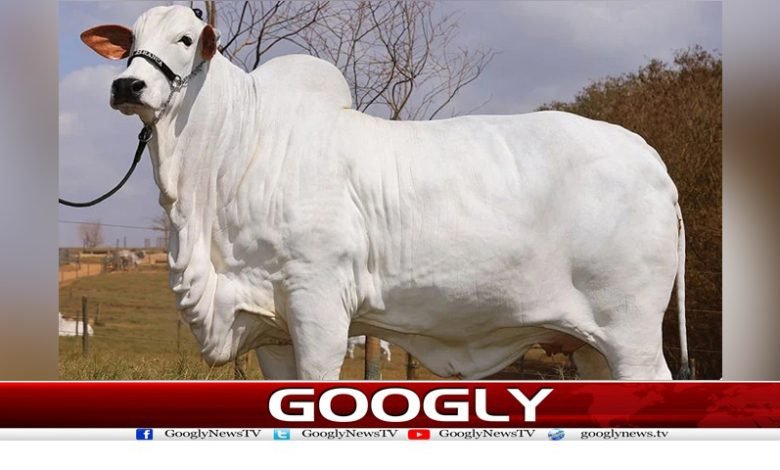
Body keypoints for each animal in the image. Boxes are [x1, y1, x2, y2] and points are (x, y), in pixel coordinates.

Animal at [80, 5, 689, 380]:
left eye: (185, 39)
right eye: (129, 44)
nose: (128, 85)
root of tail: (652, 160)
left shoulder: (319, 301)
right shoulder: (271, 328)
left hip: (630, 326)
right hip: (591, 345)